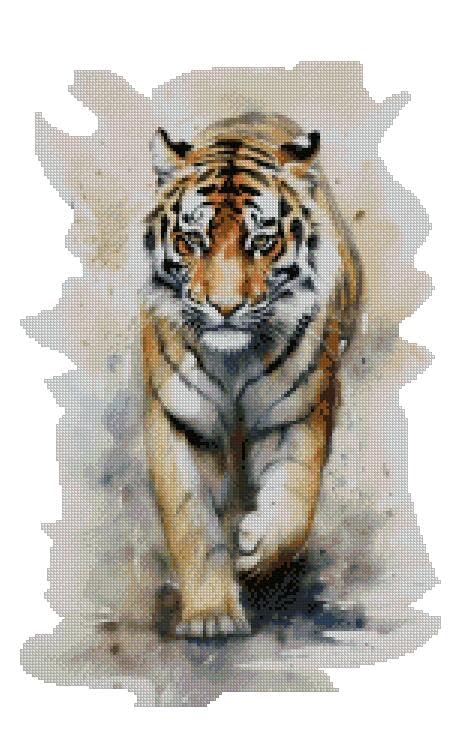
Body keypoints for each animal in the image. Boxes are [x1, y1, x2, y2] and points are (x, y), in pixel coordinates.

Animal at [141, 112, 362, 639]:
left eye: (261, 241)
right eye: (192, 240)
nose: (224, 309)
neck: (234, 360)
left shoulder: (299, 413)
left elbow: (295, 502)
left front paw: (255, 547)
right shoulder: (179, 420)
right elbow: (191, 521)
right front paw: (210, 615)